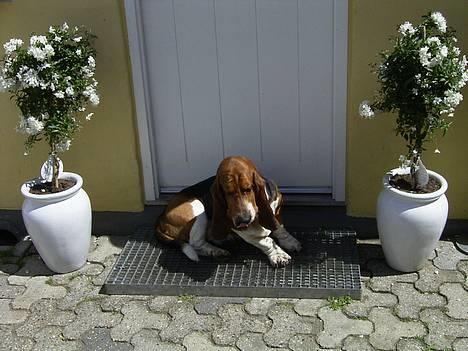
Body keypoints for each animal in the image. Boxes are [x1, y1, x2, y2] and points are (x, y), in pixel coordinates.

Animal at [155, 156, 302, 266]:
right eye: (227, 193)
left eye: (248, 189)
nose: (243, 220)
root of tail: (161, 217)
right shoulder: (243, 230)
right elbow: (265, 241)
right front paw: (278, 255)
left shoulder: (275, 209)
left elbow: (279, 228)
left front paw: (290, 242)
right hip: (198, 209)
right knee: (196, 243)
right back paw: (217, 251)